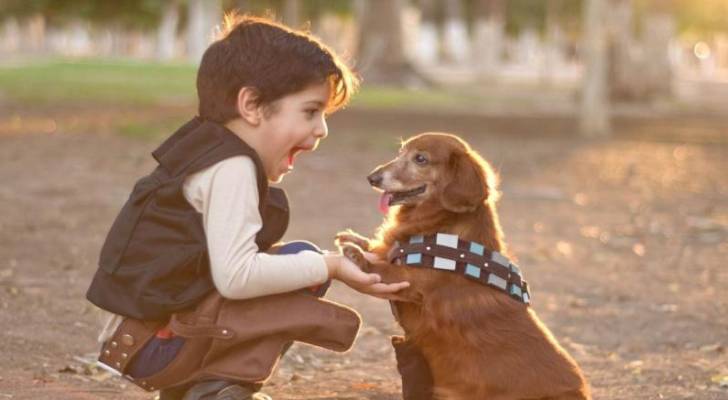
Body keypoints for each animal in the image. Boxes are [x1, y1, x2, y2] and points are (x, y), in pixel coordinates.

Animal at [338, 134, 588, 400]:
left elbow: (382, 268)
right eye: (400, 152)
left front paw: (356, 254)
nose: (372, 178)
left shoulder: (412, 280)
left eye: (420, 159)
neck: (441, 227)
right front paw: (356, 239)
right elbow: (381, 250)